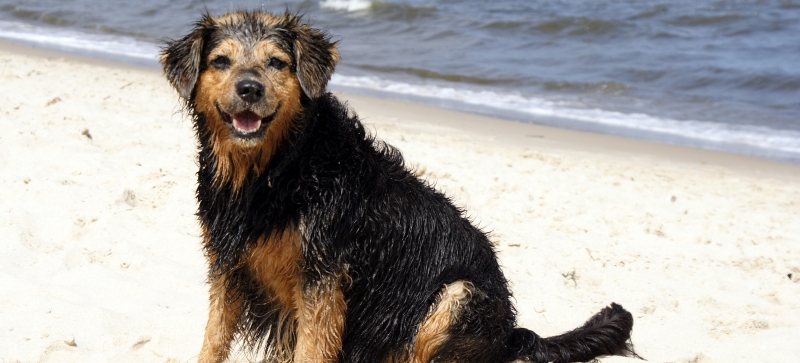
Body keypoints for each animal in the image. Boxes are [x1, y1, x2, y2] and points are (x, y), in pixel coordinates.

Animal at [161, 9, 636, 362]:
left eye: (276, 62)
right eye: (220, 61)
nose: (249, 88)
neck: (274, 169)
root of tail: (511, 336)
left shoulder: (322, 277)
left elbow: (311, 348)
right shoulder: (228, 264)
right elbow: (213, 340)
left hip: (458, 295)